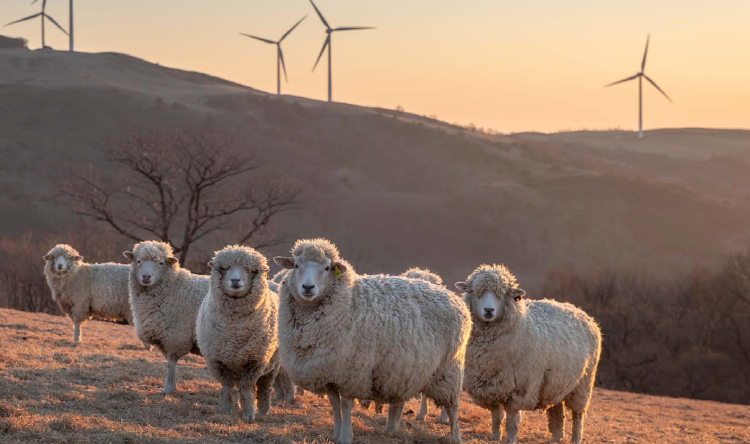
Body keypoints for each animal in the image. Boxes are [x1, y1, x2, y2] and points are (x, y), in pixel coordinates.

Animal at [123, 241, 210, 394]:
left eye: (161, 263)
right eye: (138, 261)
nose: (146, 277)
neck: (174, 286)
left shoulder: (175, 336)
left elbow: (170, 364)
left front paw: (167, 388)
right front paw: (172, 387)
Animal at [197, 245, 282, 422]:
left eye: (252, 270)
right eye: (223, 268)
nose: (235, 280)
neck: (234, 332)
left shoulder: (255, 361)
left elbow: (247, 388)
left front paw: (249, 414)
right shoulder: (217, 360)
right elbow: (227, 387)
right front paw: (225, 410)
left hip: (273, 364)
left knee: (264, 387)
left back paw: (263, 410)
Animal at [274, 239, 472, 444]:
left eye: (327, 267)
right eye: (296, 266)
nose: (308, 287)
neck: (348, 300)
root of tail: (453, 297)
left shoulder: (352, 371)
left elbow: (346, 405)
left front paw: (346, 436)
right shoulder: (329, 372)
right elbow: (335, 405)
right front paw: (336, 433)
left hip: (449, 368)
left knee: (452, 407)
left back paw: (455, 436)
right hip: (405, 370)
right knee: (400, 401)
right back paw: (391, 429)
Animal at [456, 264, 604, 444]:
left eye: (502, 294)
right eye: (476, 292)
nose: (489, 310)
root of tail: (582, 313)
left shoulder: (519, 388)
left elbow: (512, 418)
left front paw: (510, 438)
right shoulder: (491, 385)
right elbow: (496, 415)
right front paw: (495, 436)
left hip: (583, 382)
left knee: (578, 414)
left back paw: (575, 438)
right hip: (557, 380)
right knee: (557, 408)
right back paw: (557, 436)